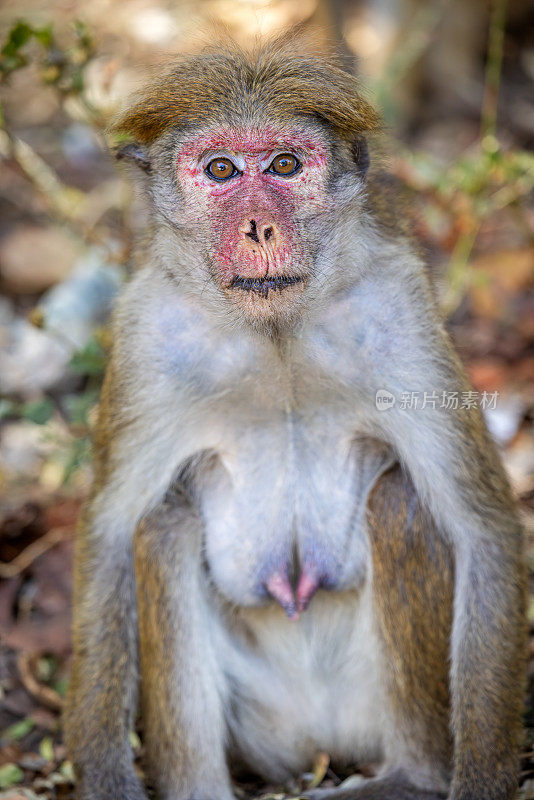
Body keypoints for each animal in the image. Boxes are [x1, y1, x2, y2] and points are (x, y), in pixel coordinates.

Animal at [63, 40, 528, 800]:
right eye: (221, 170)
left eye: (284, 165)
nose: (259, 227)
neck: (276, 332)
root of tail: (317, 742)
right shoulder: (147, 331)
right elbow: (106, 536)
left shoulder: (399, 308)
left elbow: (482, 529)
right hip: (264, 728)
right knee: (162, 524)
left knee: (400, 501)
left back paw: (412, 776)